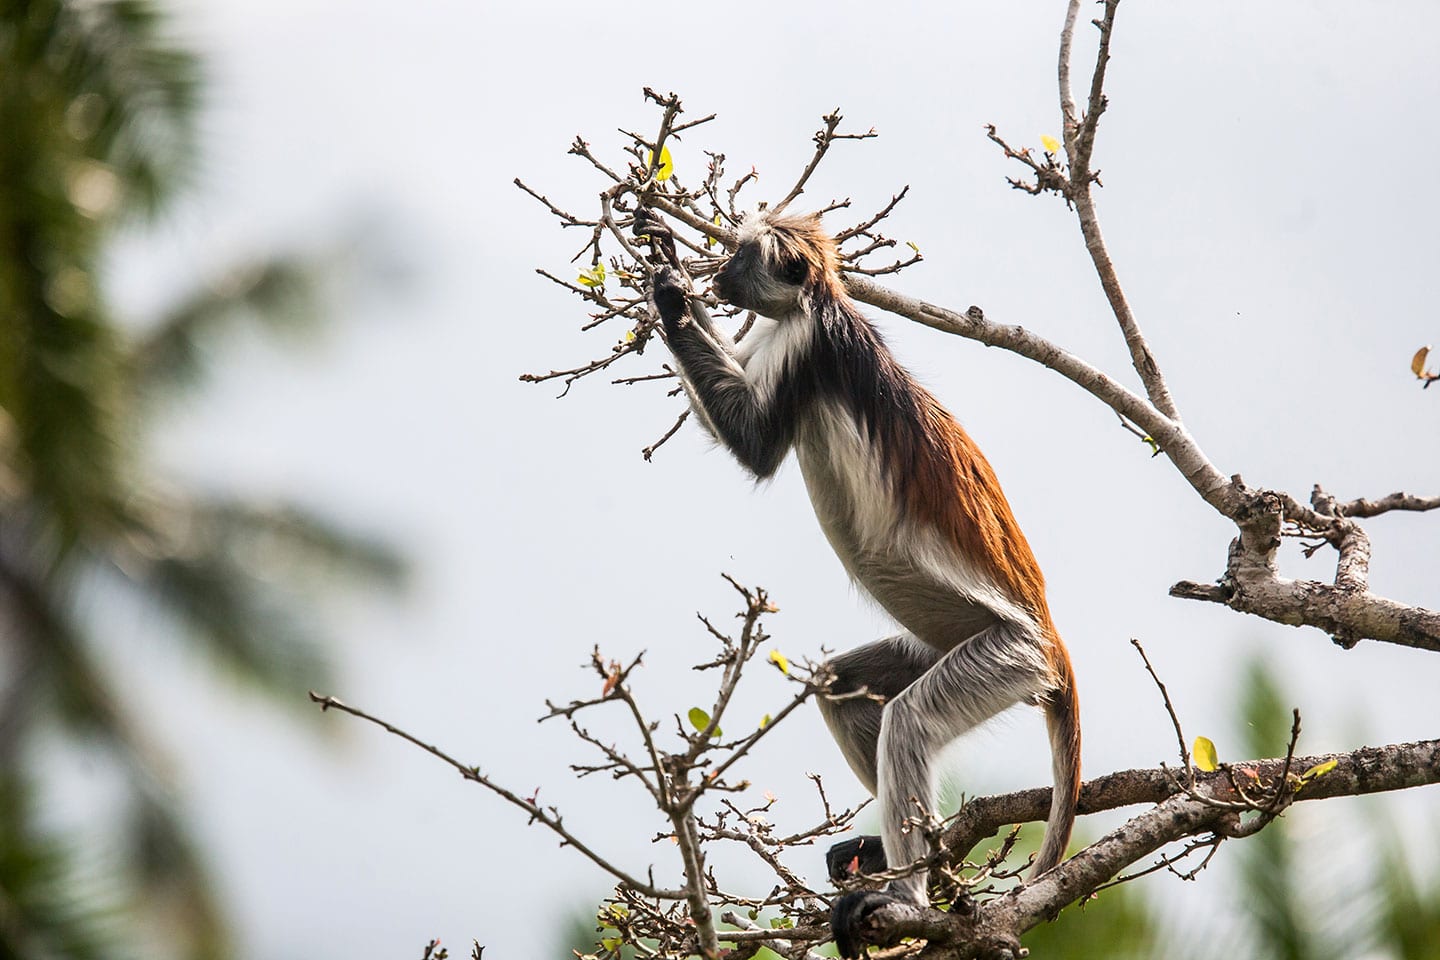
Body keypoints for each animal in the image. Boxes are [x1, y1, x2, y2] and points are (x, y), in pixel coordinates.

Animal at [634, 208, 1080, 959]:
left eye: (739, 257)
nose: (718, 276)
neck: (818, 305)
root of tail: (1050, 640)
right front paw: (663, 249)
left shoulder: (805, 344)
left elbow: (753, 444)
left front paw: (670, 292)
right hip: (949, 648)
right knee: (841, 685)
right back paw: (919, 856)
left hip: (1006, 654)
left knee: (908, 723)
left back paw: (906, 895)